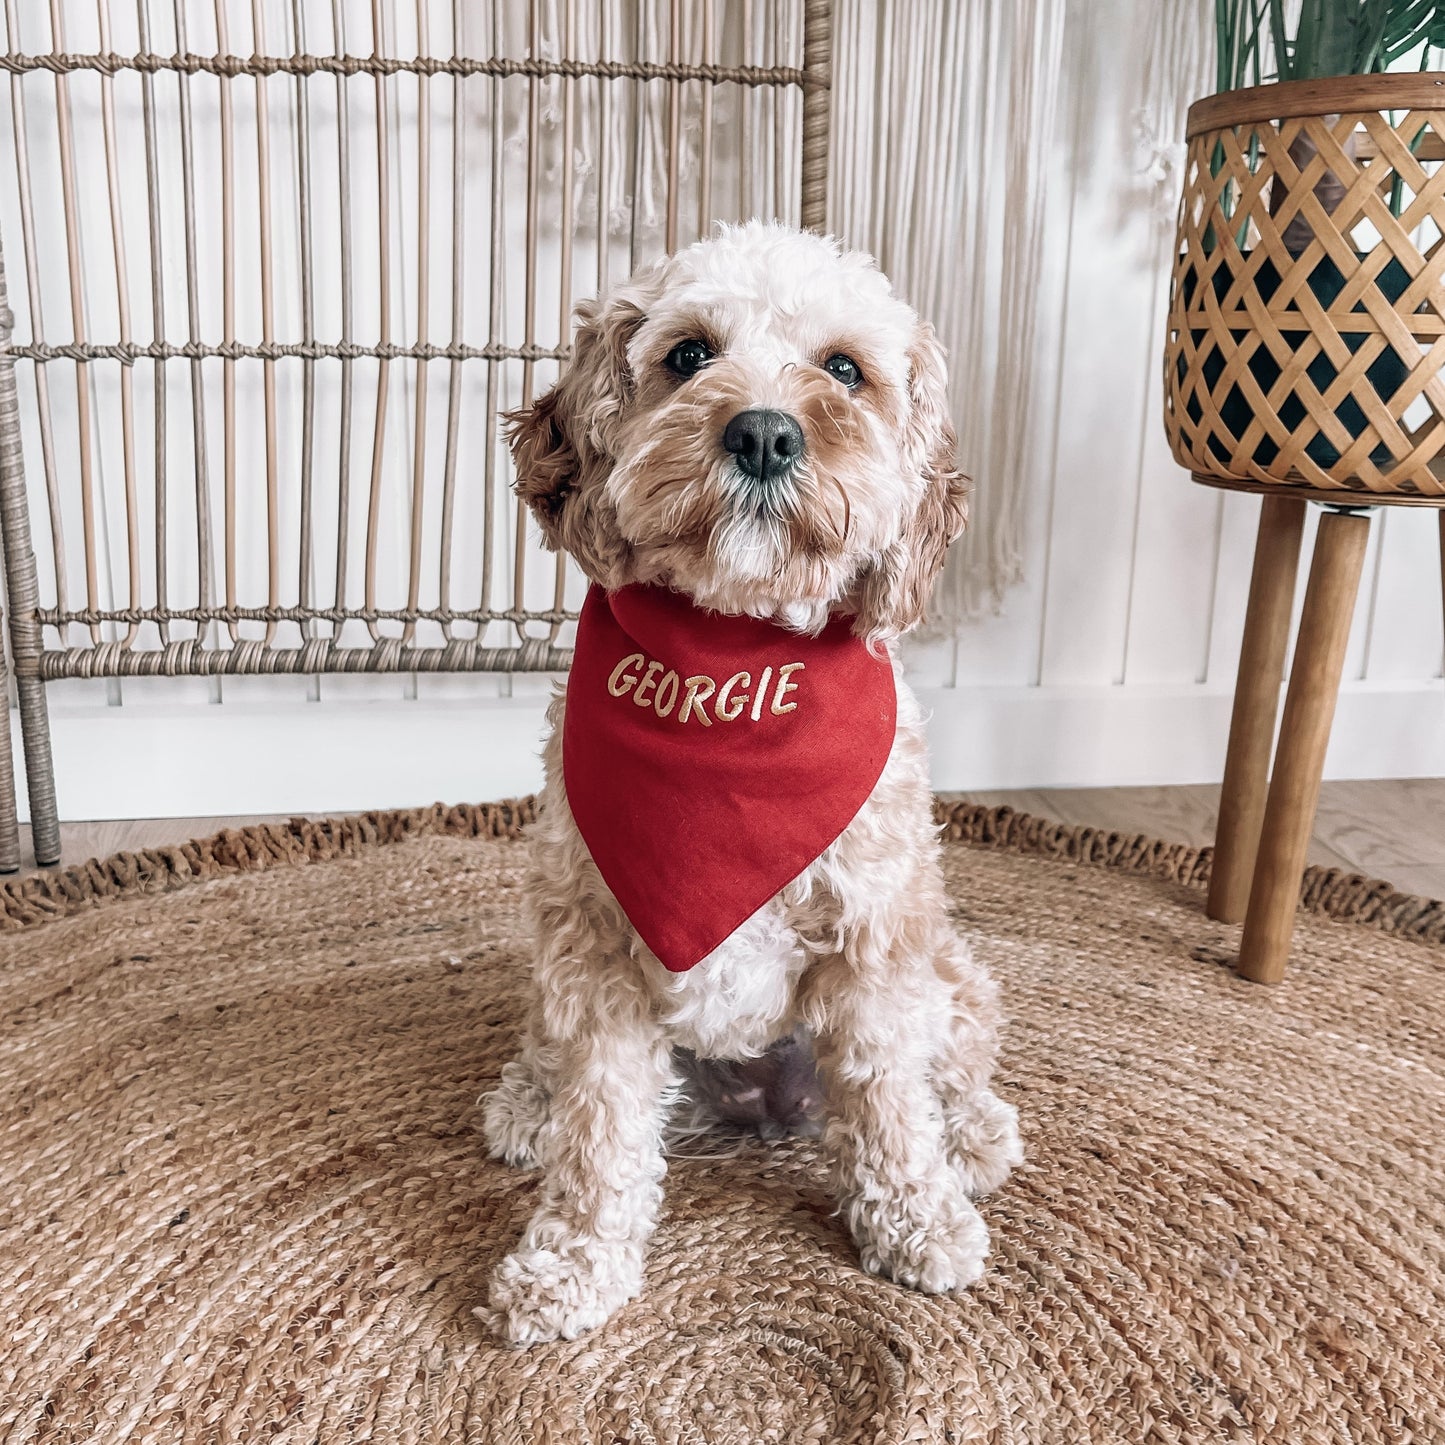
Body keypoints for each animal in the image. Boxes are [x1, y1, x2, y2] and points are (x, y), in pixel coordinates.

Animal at [479, 216, 1023, 1340]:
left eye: (845, 369)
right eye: (688, 353)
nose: (765, 434)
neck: (729, 663)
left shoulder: (873, 941)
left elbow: (892, 1106)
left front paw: (915, 1219)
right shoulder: (593, 948)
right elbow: (599, 1133)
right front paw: (572, 1260)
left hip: (946, 967)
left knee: (954, 1062)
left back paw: (974, 1135)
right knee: (550, 1057)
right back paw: (524, 1102)